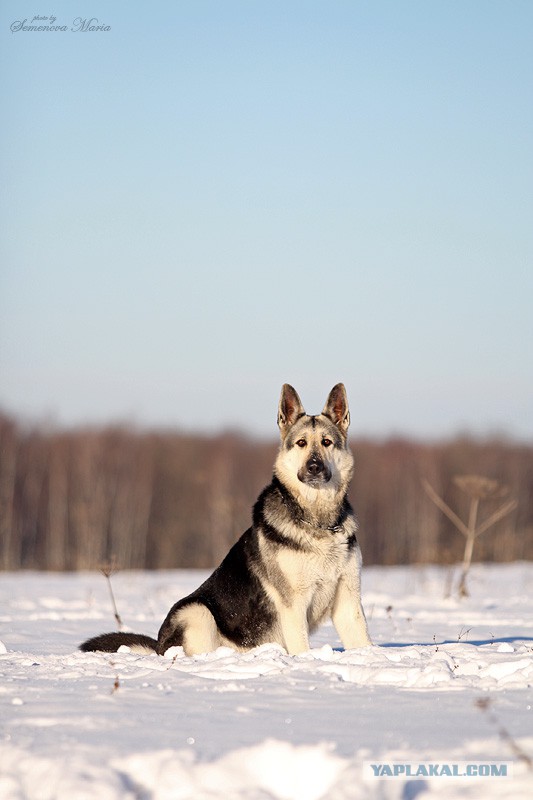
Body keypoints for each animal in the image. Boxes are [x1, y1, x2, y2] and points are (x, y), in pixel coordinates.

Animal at [80, 382, 370, 656]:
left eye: (326, 442)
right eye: (301, 443)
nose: (314, 467)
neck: (319, 520)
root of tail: (159, 646)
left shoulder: (348, 603)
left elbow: (364, 643)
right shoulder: (294, 606)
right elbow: (301, 647)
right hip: (197, 612)